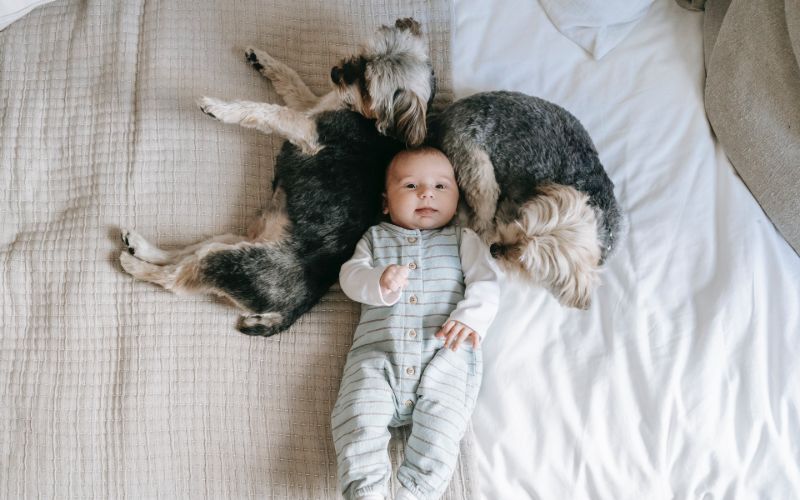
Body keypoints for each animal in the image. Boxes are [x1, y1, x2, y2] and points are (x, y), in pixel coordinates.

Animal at [115, 17, 434, 336]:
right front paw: (262, 59)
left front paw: (220, 108)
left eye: (367, 85)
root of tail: (289, 312)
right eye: (363, 54)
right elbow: (291, 79)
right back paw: (140, 247)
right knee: (183, 254)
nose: (335, 73)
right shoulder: (310, 105)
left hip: (232, 263)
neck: (369, 118)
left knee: (175, 279)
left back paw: (134, 265)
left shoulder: (306, 130)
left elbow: (269, 112)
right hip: (229, 243)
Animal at [428, 90, 620, 308]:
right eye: (520, 221)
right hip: (479, 171)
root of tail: (447, 114)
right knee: (480, 219)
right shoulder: (506, 208)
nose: (494, 249)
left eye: (525, 264)